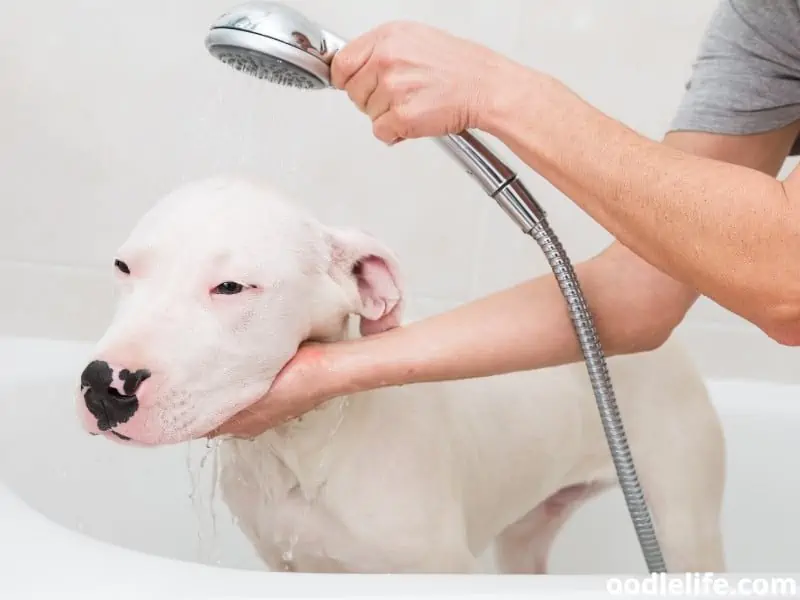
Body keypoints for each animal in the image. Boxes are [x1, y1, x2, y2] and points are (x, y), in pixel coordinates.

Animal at [78, 179, 728, 576]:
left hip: (682, 522)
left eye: (232, 286)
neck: (302, 452)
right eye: (124, 266)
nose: (105, 385)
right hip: (526, 533)